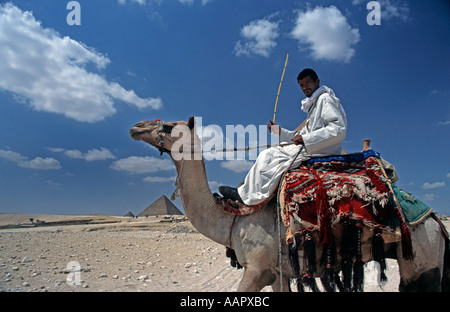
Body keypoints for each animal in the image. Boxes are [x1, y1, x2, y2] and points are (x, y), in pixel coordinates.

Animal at [129, 116, 450, 292]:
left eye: (168, 125)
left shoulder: (257, 269)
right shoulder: (277, 272)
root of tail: (435, 219)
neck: (234, 217)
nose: (135, 127)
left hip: (423, 255)